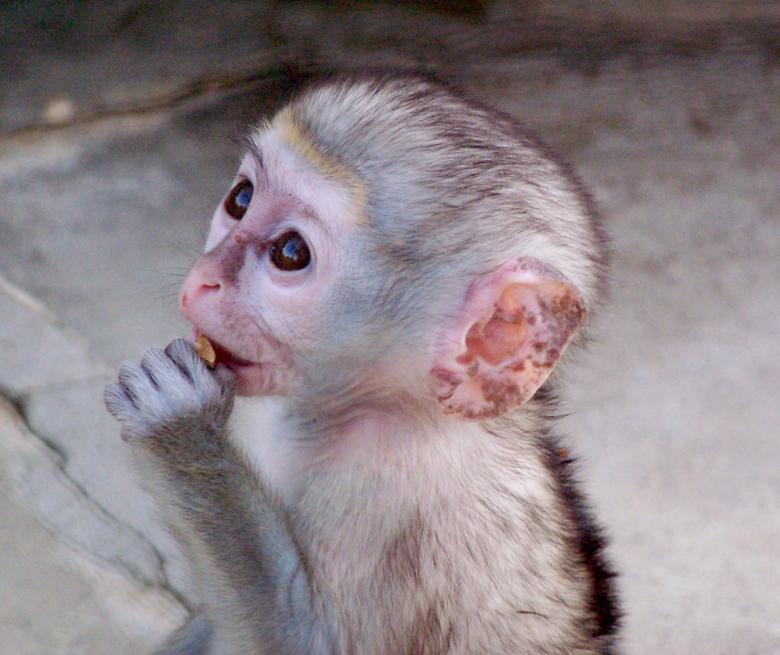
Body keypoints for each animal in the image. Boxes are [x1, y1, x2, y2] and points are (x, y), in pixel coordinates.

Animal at [105, 70, 618, 655]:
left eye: (290, 253)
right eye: (241, 199)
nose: (202, 280)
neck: (389, 406)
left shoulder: (391, 485)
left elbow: (303, 640)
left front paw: (180, 429)